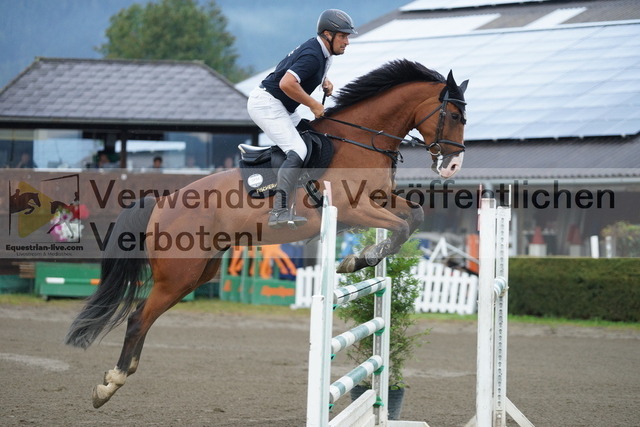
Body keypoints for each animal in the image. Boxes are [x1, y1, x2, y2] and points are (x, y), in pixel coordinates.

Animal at [65, 59, 468, 408]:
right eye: (452, 115)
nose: (452, 166)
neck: (360, 141)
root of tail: (161, 202)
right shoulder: (355, 209)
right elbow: (401, 226)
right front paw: (360, 259)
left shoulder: (381, 200)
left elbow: (413, 217)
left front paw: (360, 259)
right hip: (178, 275)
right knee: (138, 318)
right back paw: (110, 384)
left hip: (198, 273)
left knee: (145, 316)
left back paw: (116, 378)